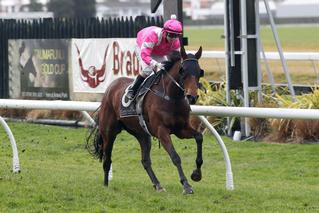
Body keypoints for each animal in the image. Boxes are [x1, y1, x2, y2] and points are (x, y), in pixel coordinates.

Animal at [88, 46, 205, 195]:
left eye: (199, 71)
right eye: (183, 70)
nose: (192, 97)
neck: (171, 98)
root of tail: (110, 87)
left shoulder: (181, 129)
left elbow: (199, 137)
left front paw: (196, 174)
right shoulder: (162, 131)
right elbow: (175, 157)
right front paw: (186, 185)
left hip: (142, 135)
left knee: (145, 161)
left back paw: (158, 185)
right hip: (109, 133)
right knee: (107, 159)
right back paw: (106, 185)